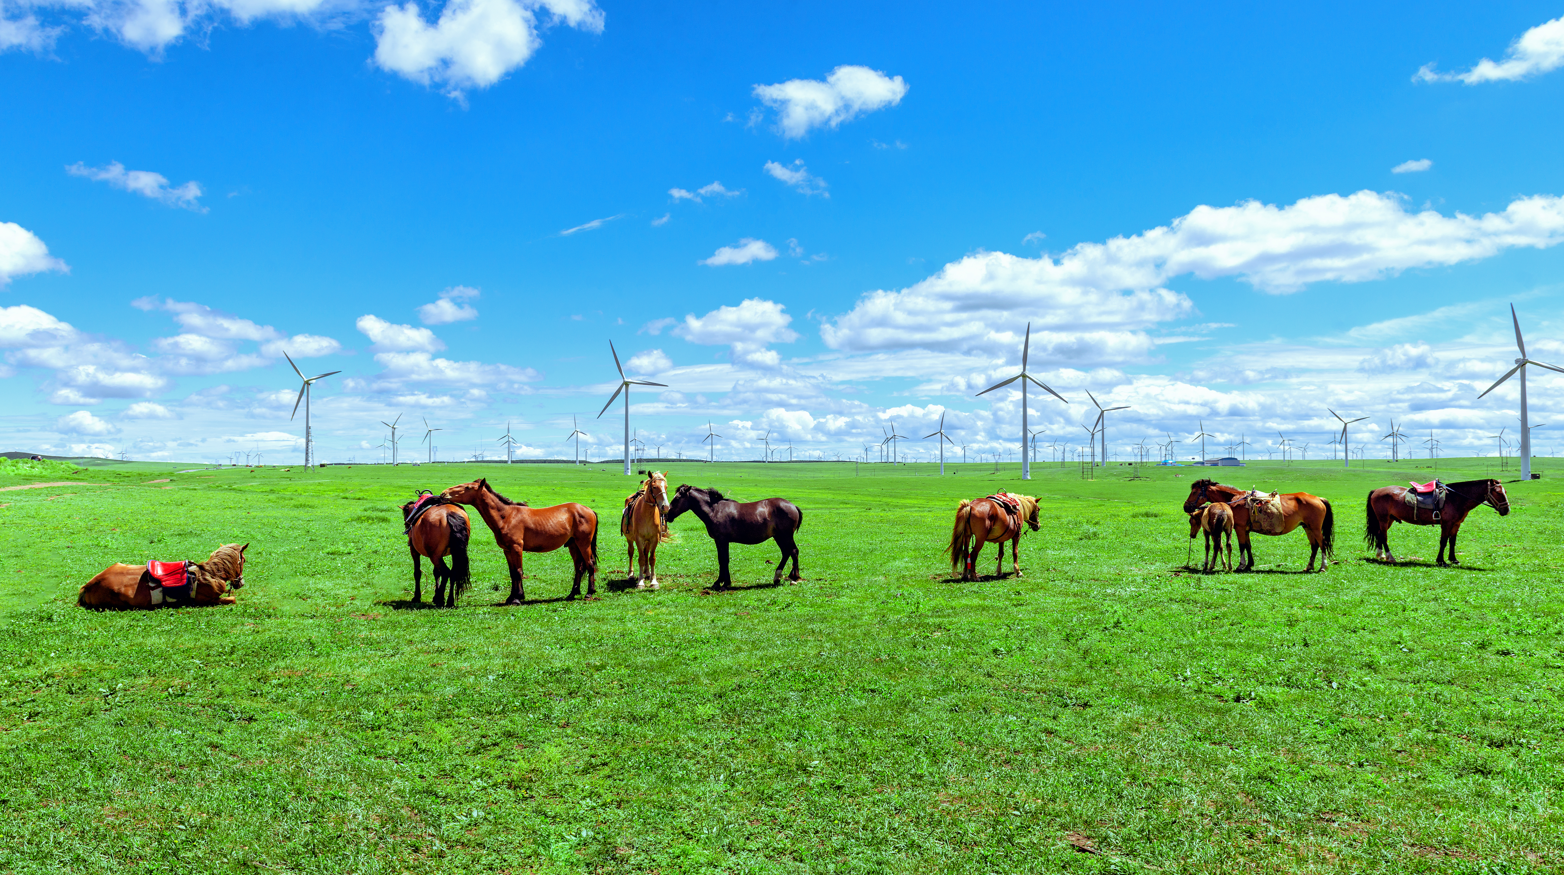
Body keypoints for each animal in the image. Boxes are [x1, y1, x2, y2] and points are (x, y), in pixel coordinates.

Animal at [79, 544, 248, 613]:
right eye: (244, 560)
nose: (241, 582)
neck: (209, 574)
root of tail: (89, 585)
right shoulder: (208, 601)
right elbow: (232, 599)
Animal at [447, 478, 603, 610]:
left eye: (467, 487)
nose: (444, 494)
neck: (506, 516)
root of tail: (589, 510)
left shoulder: (516, 548)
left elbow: (518, 571)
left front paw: (517, 598)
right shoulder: (507, 550)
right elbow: (512, 573)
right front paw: (511, 597)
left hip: (583, 544)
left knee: (590, 564)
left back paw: (589, 593)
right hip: (573, 545)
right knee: (579, 567)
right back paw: (572, 594)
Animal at [663, 485, 800, 588]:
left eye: (677, 498)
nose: (667, 515)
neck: (715, 510)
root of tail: (793, 506)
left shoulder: (722, 540)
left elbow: (724, 559)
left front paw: (723, 583)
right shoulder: (719, 541)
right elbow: (722, 559)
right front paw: (721, 582)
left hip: (785, 536)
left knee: (793, 551)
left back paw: (795, 578)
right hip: (779, 537)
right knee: (787, 553)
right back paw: (778, 577)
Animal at [1182, 478, 1332, 576]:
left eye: (1194, 492)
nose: (1185, 507)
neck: (1235, 500)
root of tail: (1319, 498)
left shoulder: (1240, 528)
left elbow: (1242, 546)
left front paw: (1241, 565)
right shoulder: (1246, 530)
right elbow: (1248, 546)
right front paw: (1249, 565)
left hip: (1315, 529)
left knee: (1323, 544)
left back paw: (1322, 567)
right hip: (1307, 528)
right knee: (1314, 546)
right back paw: (1309, 567)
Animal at [1363, 478, 1507, 569]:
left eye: (1505, 492)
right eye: (1498, 492)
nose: (1506, 510)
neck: (1455, 498)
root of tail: (1376, 491)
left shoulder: (1456, 524)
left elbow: (1452, 541)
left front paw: (1453, 559)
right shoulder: (1446, 524)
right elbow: (1443, 542)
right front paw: (1441, 561)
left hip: (1389, 519)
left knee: (1379, 534)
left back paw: (1380, 555)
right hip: (1383, 519)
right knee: (1383, 537)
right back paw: (1390, 557)